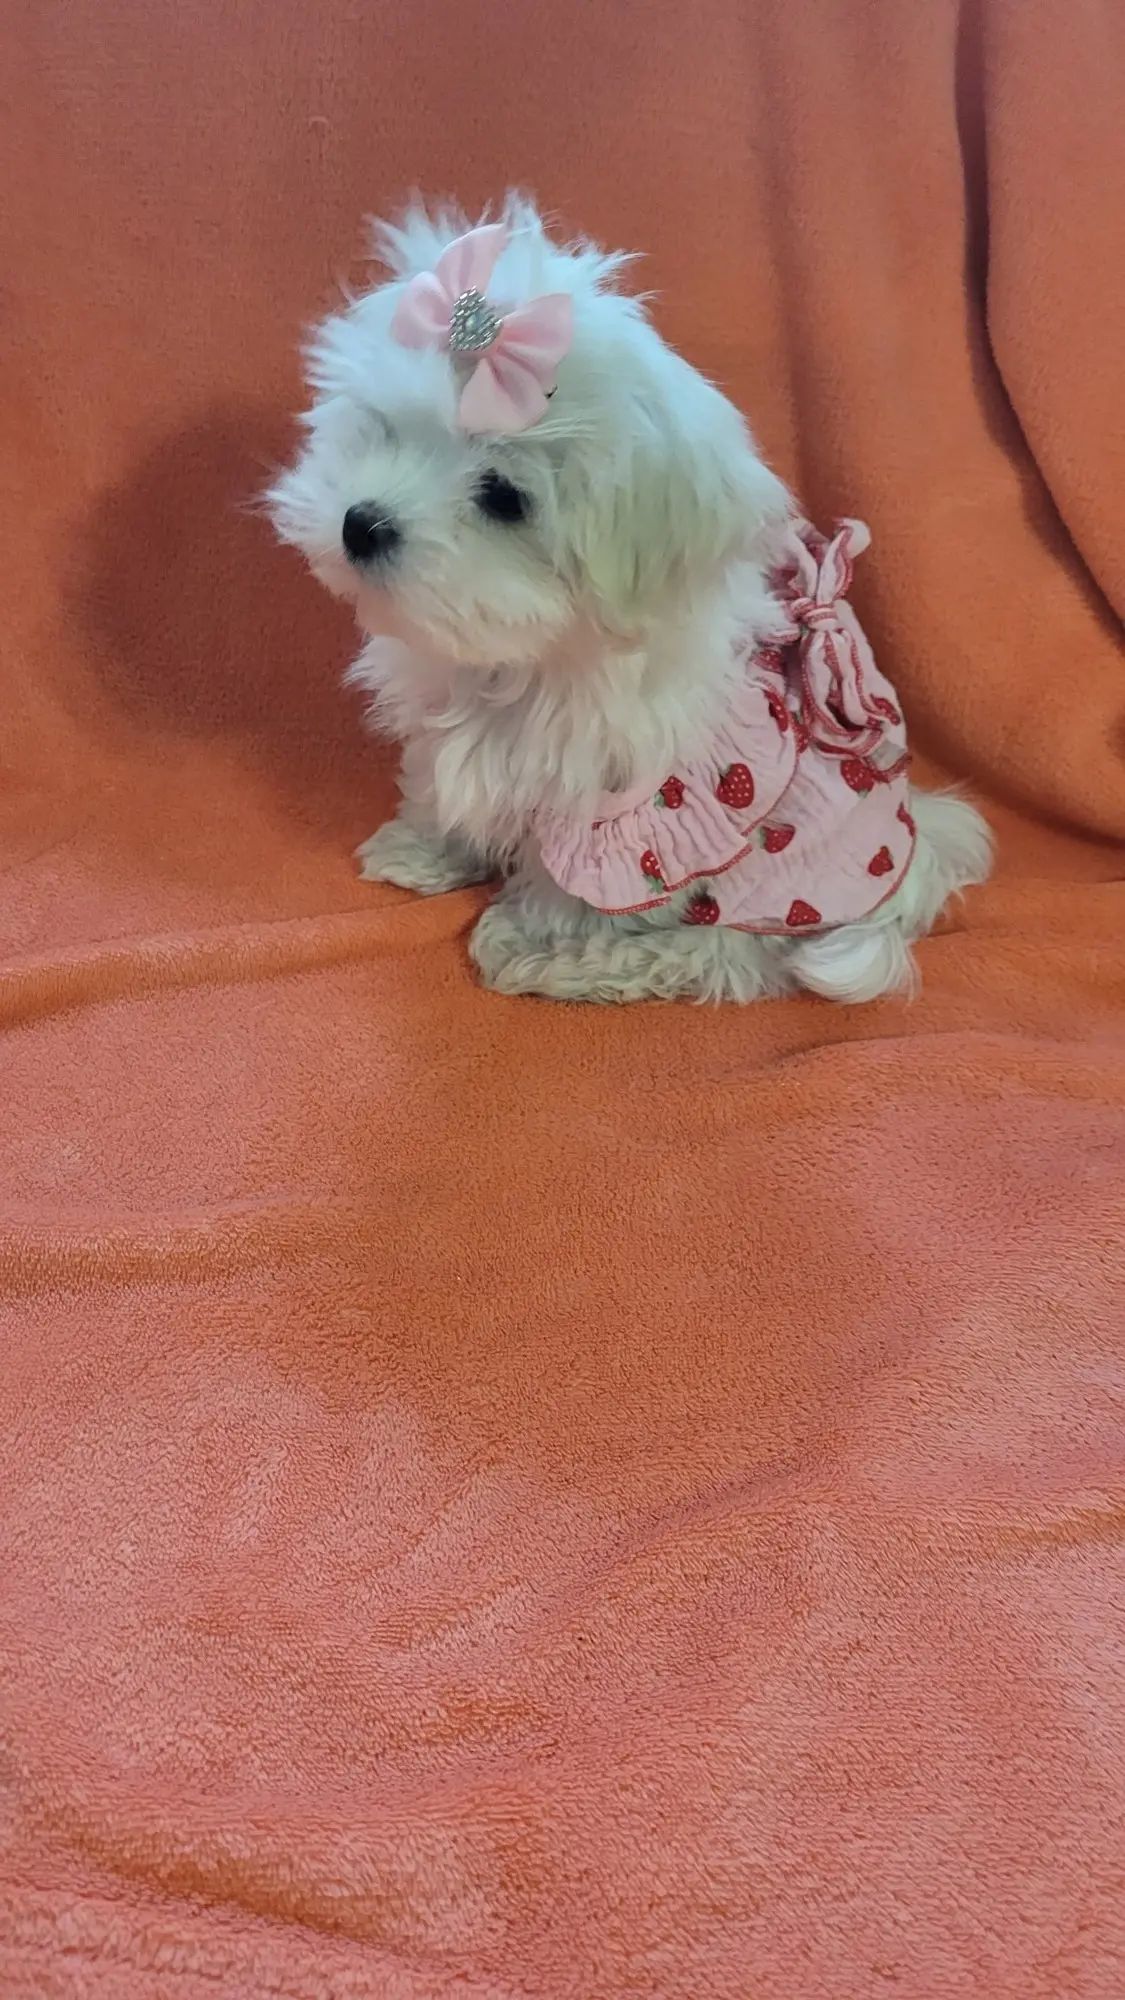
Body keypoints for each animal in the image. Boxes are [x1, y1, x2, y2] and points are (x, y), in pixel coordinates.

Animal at [269, 196, 991, 1003]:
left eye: (503, 496)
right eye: (387, 429)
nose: (361, 524)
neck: (522, 664)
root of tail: (913, 847)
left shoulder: (631, 814)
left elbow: (581, 888)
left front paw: (533, 936)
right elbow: (440, 785)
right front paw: (423, 848)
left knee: (727, 958)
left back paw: (577, 968)